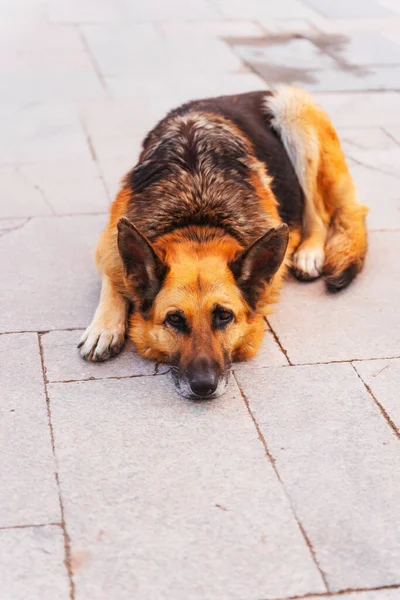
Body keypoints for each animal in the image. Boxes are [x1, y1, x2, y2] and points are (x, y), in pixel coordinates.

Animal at [79, 86, 368, 398]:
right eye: (175, 320)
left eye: (223, 316)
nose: (203, 386)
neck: (197, 214)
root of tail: (254, 91)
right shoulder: (108, 244)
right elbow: (113, 279)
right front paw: (104, 327)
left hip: (292, 113)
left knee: (320, 214)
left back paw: (309, 253)